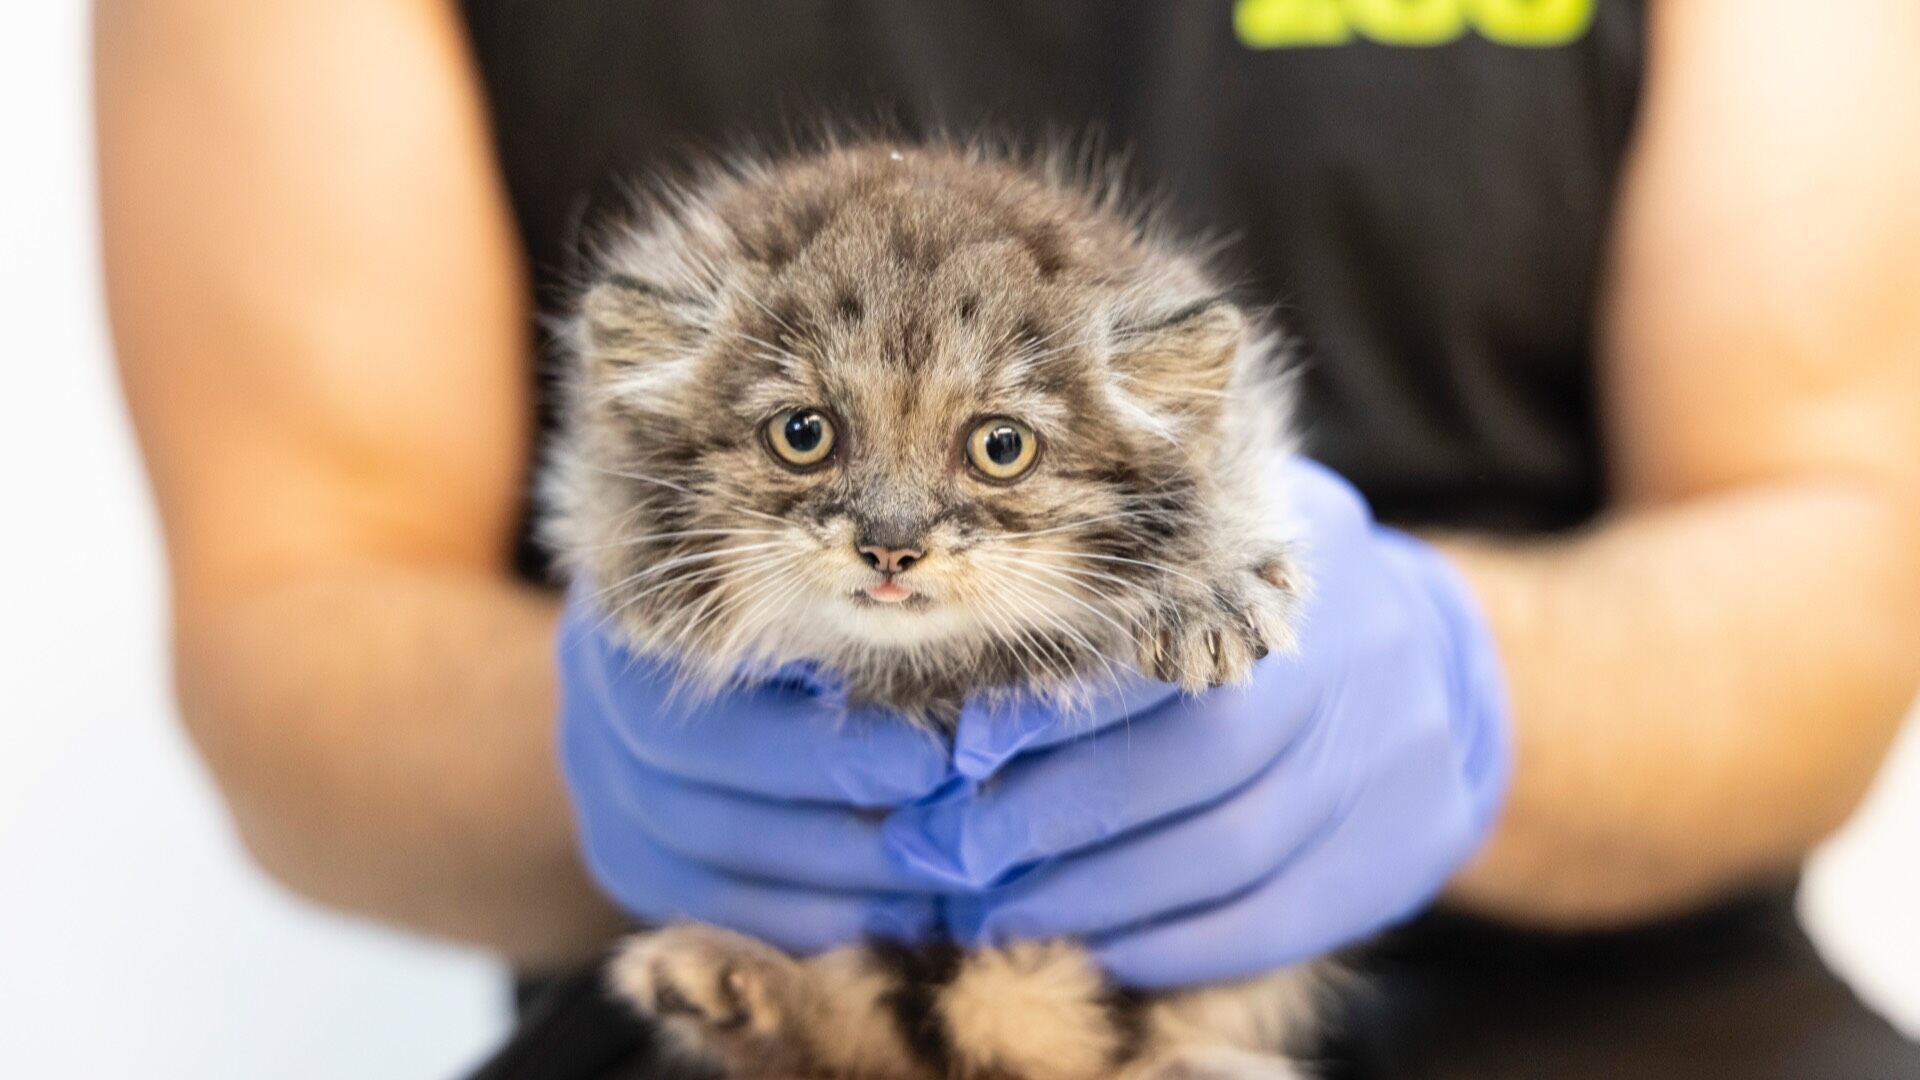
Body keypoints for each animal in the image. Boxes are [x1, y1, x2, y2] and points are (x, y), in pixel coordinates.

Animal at [541, 143, 1320, 1076]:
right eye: (803, 434)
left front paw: (1208, 581)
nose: (890, 546)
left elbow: (1232, 479)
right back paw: (729, 985)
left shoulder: (1239, 425)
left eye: (1001, 446)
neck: (928, 675)